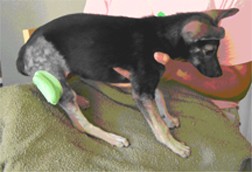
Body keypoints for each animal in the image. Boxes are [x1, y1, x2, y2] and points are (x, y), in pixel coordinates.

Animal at [16, 8, 238, 158]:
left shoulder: (140, 82)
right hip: (56, 78)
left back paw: (82, 101)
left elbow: (160, 95)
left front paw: (167, 116)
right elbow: (159, 127)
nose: (219, 74)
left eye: (216, 50)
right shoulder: (141, 88)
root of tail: (24, 51)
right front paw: (174, 145)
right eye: (209, 51)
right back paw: (113, 138)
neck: (161, 36)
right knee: (80, 124)